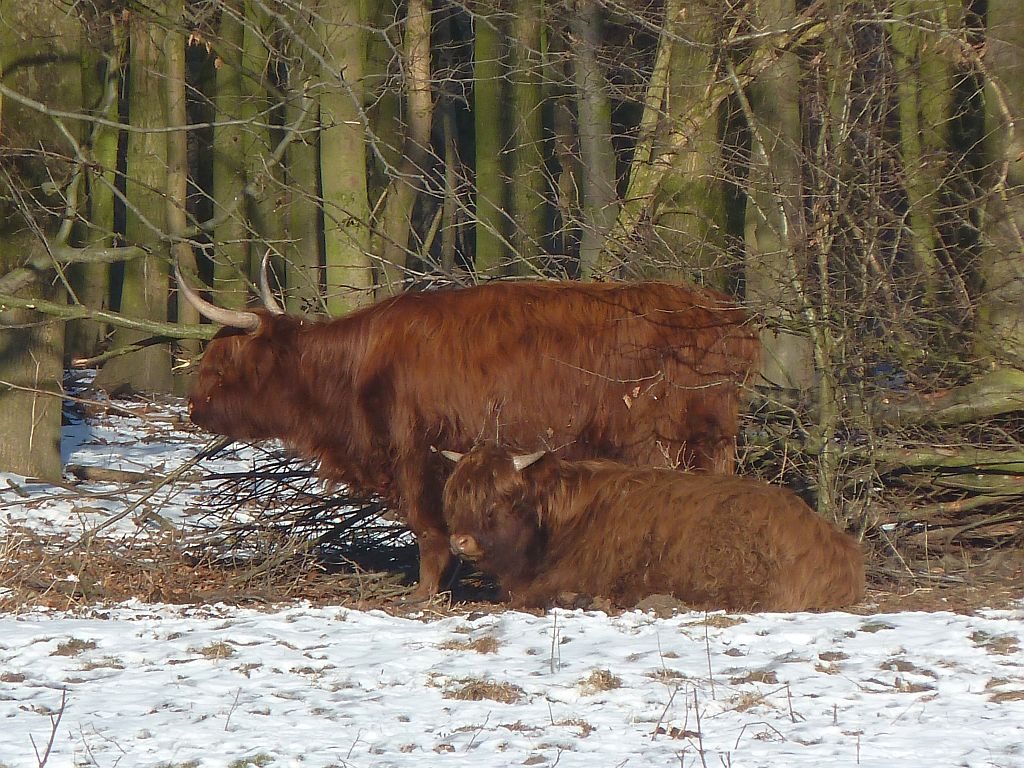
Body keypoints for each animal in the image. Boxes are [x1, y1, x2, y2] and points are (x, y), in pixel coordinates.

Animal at [178, 264, 761, 602]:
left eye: (219, 360)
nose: (191, 406)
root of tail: (728, 316)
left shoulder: (417, 452)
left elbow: (429, 530)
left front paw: (426, 594)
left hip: (657, 439)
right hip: (714, 440)